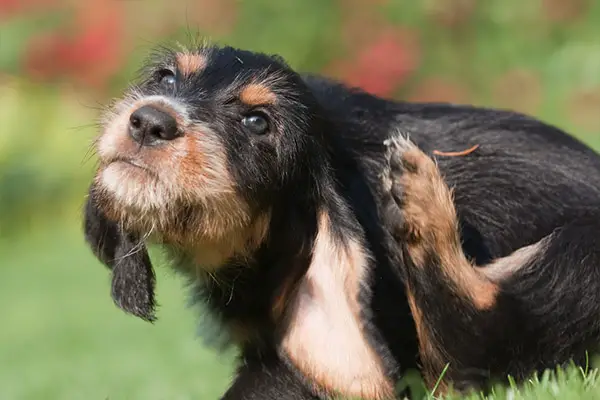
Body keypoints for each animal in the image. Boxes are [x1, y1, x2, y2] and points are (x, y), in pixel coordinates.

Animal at [83, 42, 600, 398]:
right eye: (167, 78)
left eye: (258, 122)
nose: (149, 121)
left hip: (580, 255)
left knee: (476, 347)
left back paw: (421, 199)